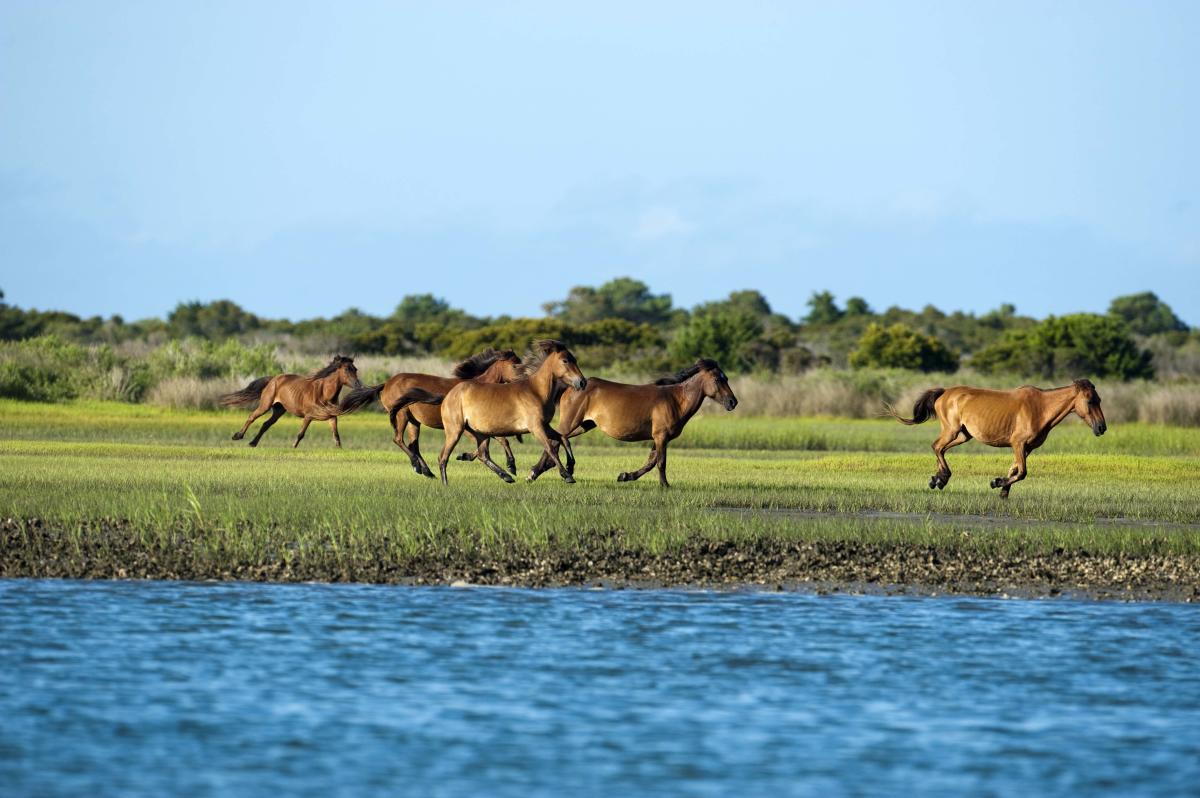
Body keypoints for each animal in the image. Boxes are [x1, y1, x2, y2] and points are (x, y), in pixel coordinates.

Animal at [221, 355, 363, 448]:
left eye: (355, 369)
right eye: (346, 369)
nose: (358, 385)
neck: (324, 393)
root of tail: (273, 379)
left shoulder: (332, 417)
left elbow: (336, 436)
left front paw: (340, 449)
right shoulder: (309, 416)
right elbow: (301, 434)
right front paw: (293, 447)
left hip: (278, 410)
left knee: (266, 424)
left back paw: (253, 443)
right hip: (265, 405)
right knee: (252, 417)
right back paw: (238, 436)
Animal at [336, 348, 524, 477]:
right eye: (515, 365)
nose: (523, 382)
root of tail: (386, 384)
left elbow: (501, 441)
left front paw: (511, 467)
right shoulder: (467, 427)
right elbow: (491, 445)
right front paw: (508, 468)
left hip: (414, 422)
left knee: (413, 445)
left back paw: (427, 471)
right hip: (402, 416)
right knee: (398, 439)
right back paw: (417, 466)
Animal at [388, 340, 587, 485]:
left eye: (576, 360)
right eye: (565, 360)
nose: (582, 382)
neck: (536, 391)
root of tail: (447, 396)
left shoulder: (544, 425)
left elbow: (563, 438)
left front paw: (570, 466)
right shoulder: (535, 427)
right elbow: (550, 447)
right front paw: (567, 475)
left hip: (479, 433)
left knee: (483, 454)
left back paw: (506, 476)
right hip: (454, 430)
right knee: (441, 456)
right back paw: (443, 482)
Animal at [528, 358, 738, 487]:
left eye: (726, 378)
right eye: (718, 379)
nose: (732, 402)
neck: (675, 400)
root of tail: (572, 386)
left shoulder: (661, 438)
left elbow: (651, 462)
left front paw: (625, 476)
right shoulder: (660, 436)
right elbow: (661, 462)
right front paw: (665, 485)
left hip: (584, 425)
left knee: (558, 439)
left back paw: (544, 470)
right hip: (571, 421)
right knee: (553, 440)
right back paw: (542, 473)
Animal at [886, 378, 1107, 498]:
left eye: (1099, 399)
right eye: (1090, 401)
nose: (1101, 428)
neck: (1040, 408)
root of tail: (944, 393)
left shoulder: (1026, 448)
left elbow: (1015, 469)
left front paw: (1002, 489)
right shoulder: (1018, 444)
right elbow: (1022, 472)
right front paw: (997, 483)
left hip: (963, 435)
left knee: (939, 448)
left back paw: (937, 478)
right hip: (951, 430)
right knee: (937, 446)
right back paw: (941, 479)